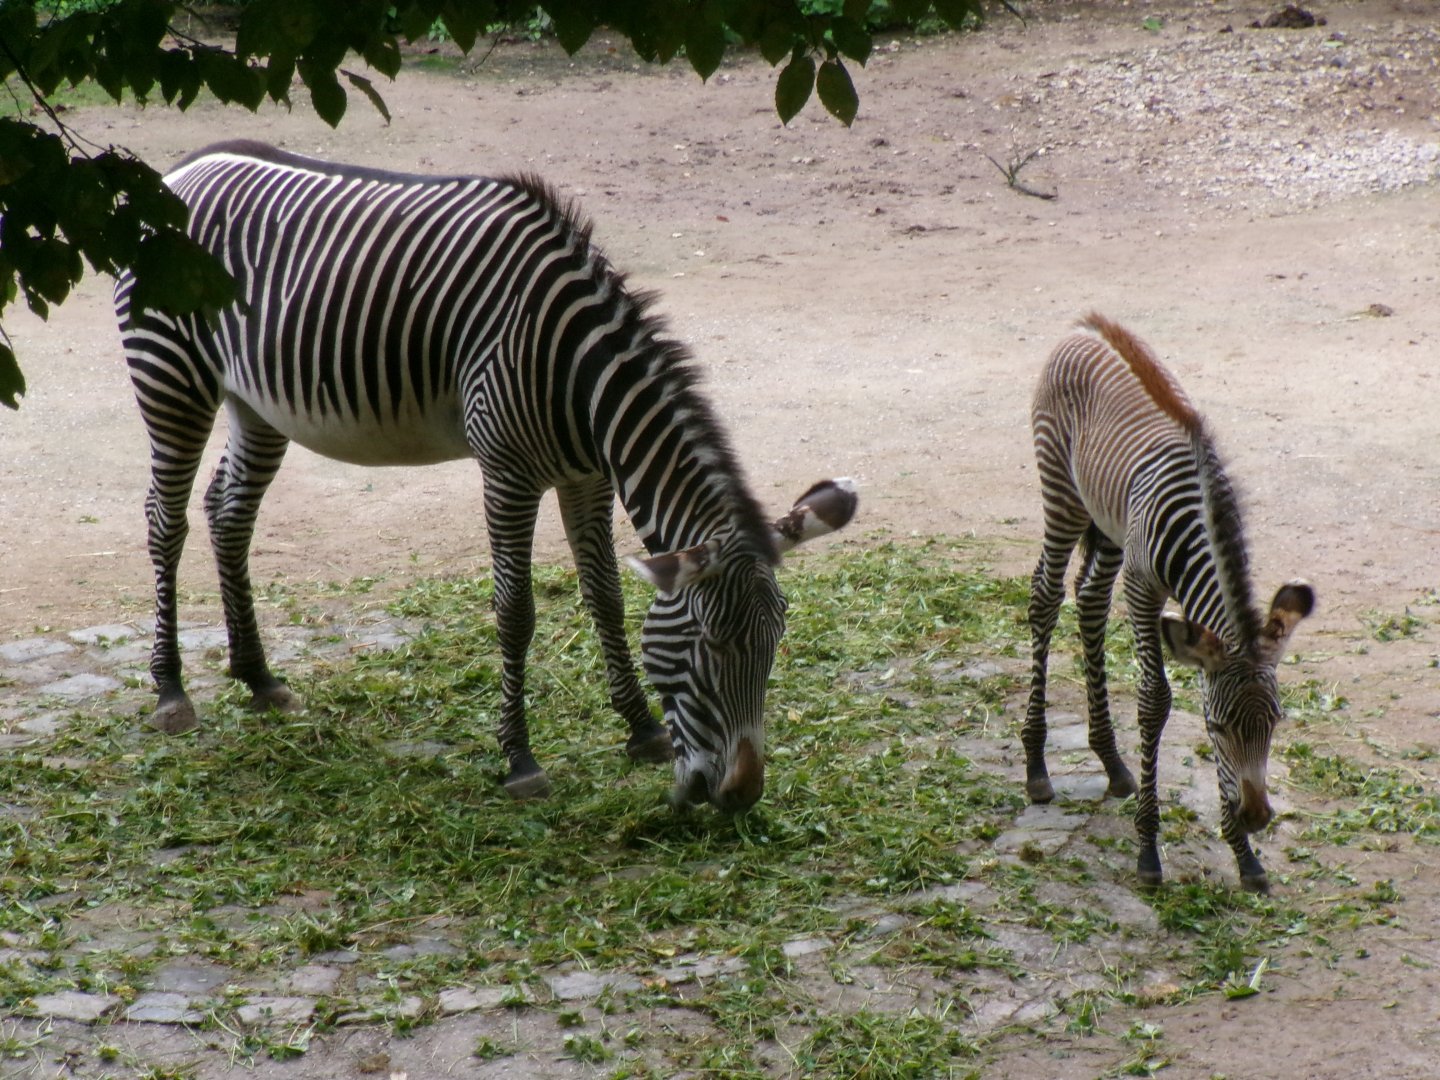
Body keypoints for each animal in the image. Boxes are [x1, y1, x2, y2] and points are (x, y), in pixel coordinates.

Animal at [114, 140, 857, 812]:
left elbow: (606, 596)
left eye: (775, 645)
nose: (741, 796)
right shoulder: (507, 473)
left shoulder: (588, 478)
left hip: (258, 400)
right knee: (165, 518)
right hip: (172, 376)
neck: (577, 373)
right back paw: (171, 689)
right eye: (712, 646)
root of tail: (182, 170)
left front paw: (640, 728)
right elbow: (516, 611)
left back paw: (258, 676)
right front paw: (520, 759)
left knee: (228, 512)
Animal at [1025, 313, 1313, 892]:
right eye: (1217, 728)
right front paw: (1148, 849)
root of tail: (1085, 325)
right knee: (1045, 596)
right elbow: (1155, 701)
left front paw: (1244, 856)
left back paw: (1113, 763)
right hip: (1062, 493)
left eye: (1274, 724)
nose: (1256, 818)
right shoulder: (1143, 588)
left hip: (1109, 523)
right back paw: (1037, 766)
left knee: (1089, 600)